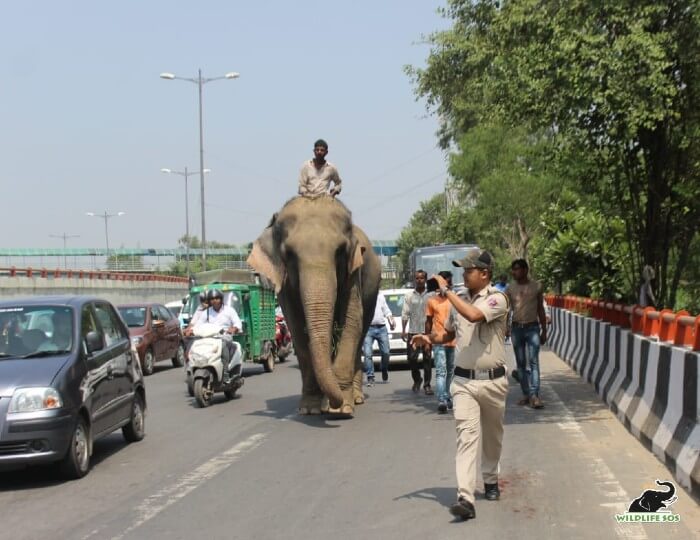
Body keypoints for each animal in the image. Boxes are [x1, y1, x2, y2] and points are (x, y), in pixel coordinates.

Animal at [245, 195, 378, 418]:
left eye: (340, 251)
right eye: (289, 254)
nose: (335, 404)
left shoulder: (354, 273)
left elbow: (352, 321)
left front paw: (342, 408)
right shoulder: (284, 285)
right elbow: (297, 329)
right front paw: (310, 409)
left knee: (361, 333)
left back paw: (356, 398)